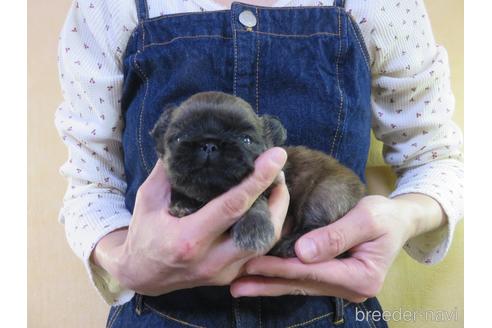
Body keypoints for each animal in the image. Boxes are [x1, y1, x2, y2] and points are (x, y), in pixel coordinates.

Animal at [151, 91, 366, 258]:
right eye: (180, 138)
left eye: (245, 139)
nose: (209, 144)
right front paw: (183, 204)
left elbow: (255, 202)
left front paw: (253, 228)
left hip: (324, 194)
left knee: (315, 224)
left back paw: (288, 245)